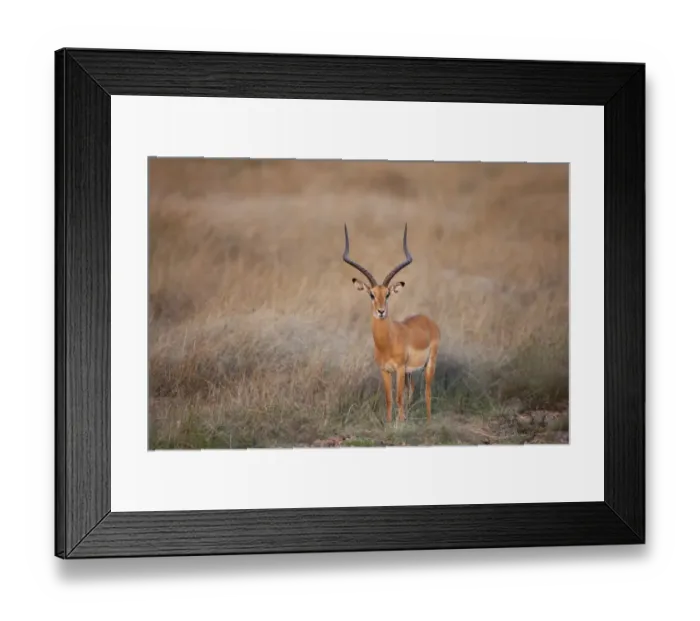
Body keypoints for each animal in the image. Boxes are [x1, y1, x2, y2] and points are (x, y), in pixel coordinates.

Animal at [343, 223, 441, 424]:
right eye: (371, 294)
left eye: (387, 294)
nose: (381, 311)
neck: (388, 341)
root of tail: (428, 321)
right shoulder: (385, 371)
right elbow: (389, 398)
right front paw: (389, 423)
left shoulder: (400, 369)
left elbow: (398, 398)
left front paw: (400, 423)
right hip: (411, 372)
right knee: (413, 390)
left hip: (429, 364)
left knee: (427, 392)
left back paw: (428, 421)